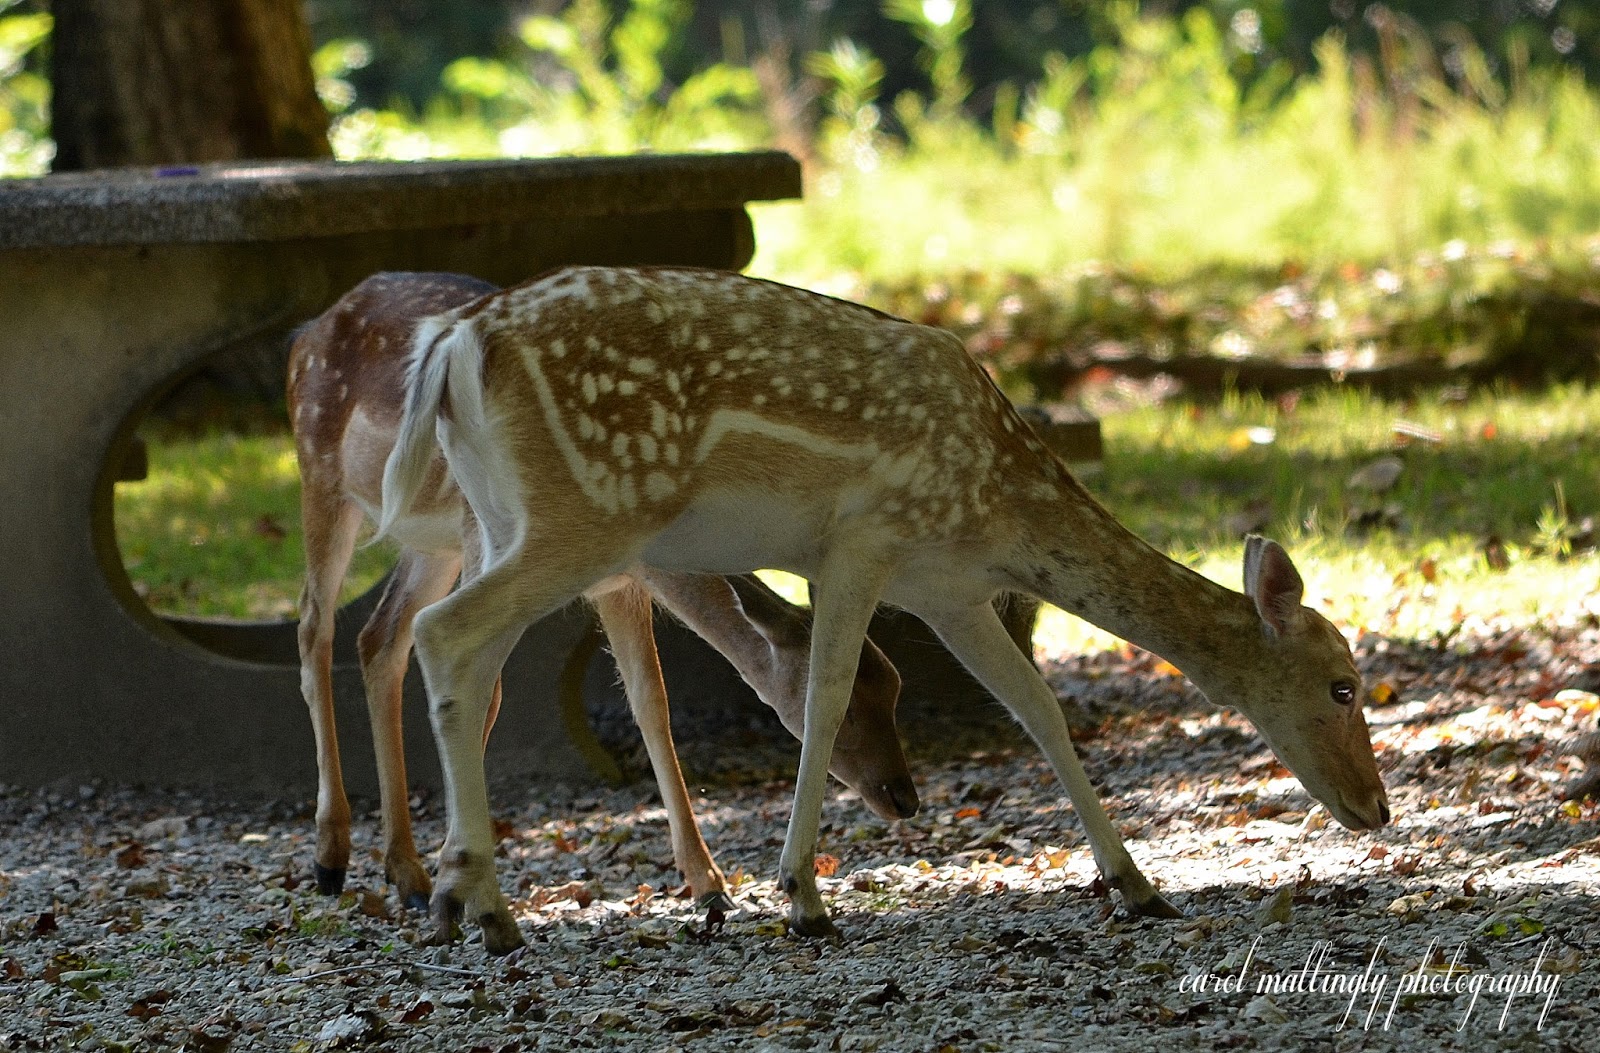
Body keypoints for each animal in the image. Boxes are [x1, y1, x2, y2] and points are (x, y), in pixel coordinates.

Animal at [288, 272, 918, 915]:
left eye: (894, 687)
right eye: (845, 705)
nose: (905, 798)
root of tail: (309, 330)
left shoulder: (620, 584)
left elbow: (650, 701)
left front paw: (707, 882)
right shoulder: (484, 533)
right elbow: (487, 693)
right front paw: (462, 876)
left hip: (430, 547)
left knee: (380, 637)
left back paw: (404, 871)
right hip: (324, 478)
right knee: (315, 625)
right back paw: (332, 857)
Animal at [378, 266, 1391, 954]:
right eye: (1342, 684)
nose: (1376, 807)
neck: (998, 505)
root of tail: (454, 347)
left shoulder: (949, 589)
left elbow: (1039, 707)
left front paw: (1138, 885)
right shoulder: (863, 540)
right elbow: (823, 698)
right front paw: (801, 898)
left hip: (503, 516)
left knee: (466, 657)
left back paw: (461, 897)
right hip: (586, 511)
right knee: (442, 632)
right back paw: (484, 905)